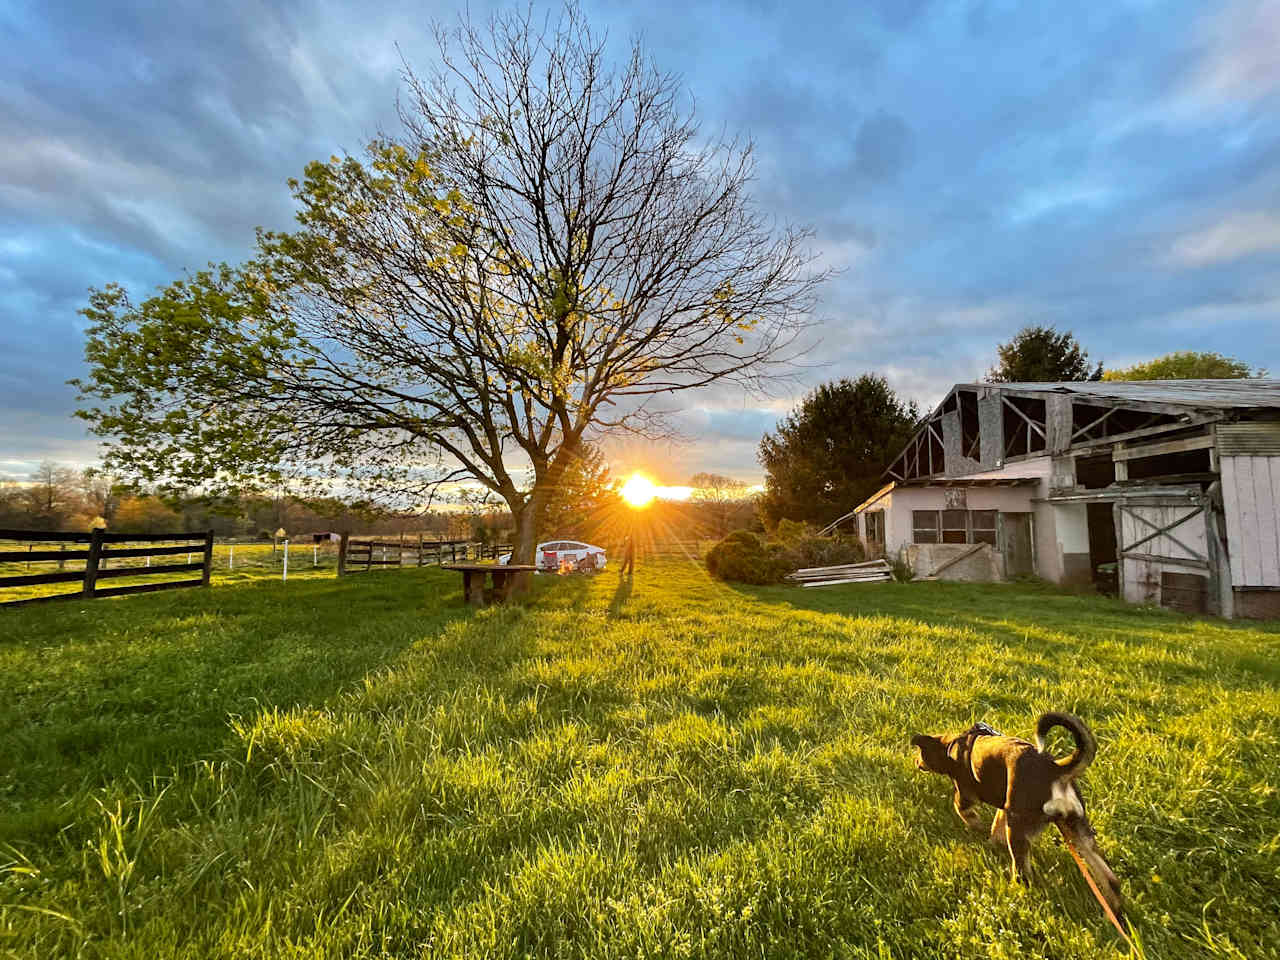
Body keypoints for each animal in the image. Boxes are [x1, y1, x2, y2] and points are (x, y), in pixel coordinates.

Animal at [911, 716, 1121, 926]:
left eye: (920, 753)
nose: (916, 761)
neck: (951, 746)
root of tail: (1055, 770)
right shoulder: (1005, 806)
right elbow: (996, 825)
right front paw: (993, 842)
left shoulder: (966, 795)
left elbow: (962, 810)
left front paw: (977, 826)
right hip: (1077, 832)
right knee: (1111, 880)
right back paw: (1112, 915)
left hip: (1018, 831)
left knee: (1023, 876)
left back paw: (1015, 894)